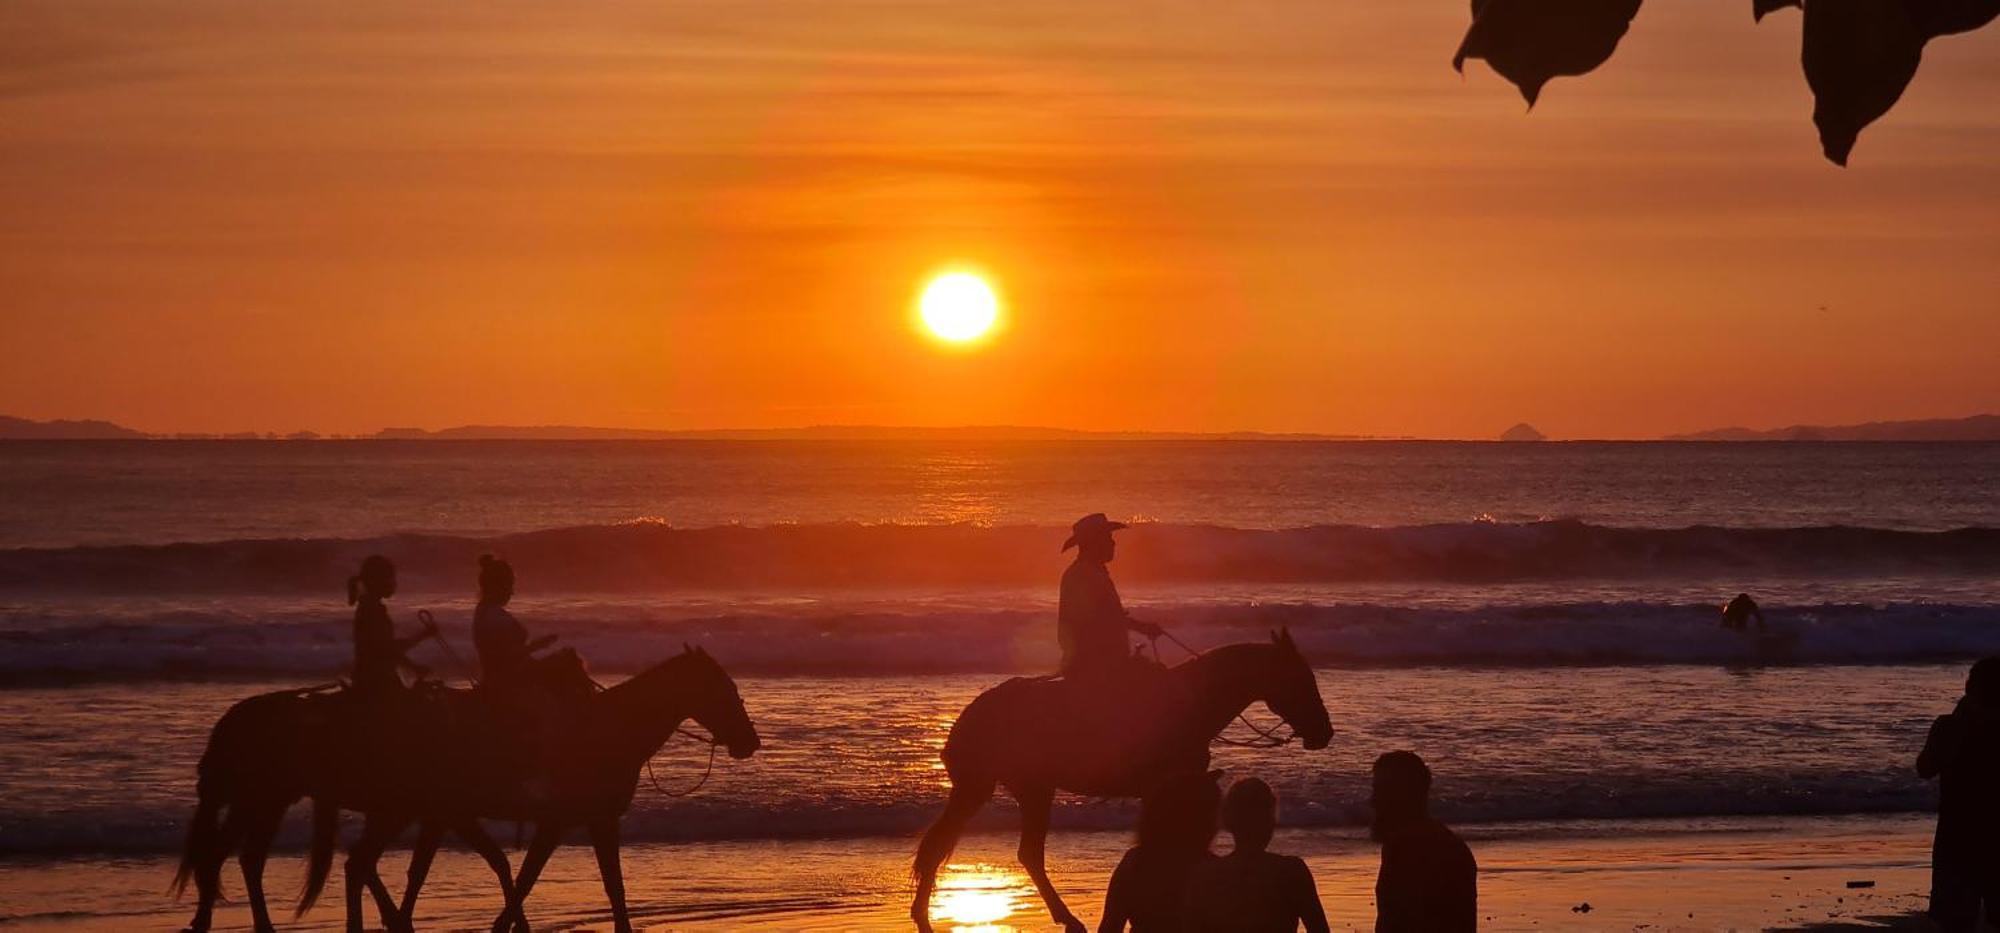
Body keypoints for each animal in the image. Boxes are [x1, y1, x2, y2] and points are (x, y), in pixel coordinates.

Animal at [176, 648, 756, 933]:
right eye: (722, 687)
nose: (749, 741)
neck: (606, 729)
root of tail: (245, 715)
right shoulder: (561, 820)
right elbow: (524, 877)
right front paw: (505, 925)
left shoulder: (577, 821)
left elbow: (560, 880)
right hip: (276, 799)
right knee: (255, 856)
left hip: (273, 799)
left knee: (251, 857)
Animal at [916, 628, 1336, 933]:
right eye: (1301, 679)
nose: (1324, 733)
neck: (1192, 701)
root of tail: (970, 716)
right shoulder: (1163, 787)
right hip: (1024, 789)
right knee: (1021, 852)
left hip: (993, 789)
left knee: (948, 846)